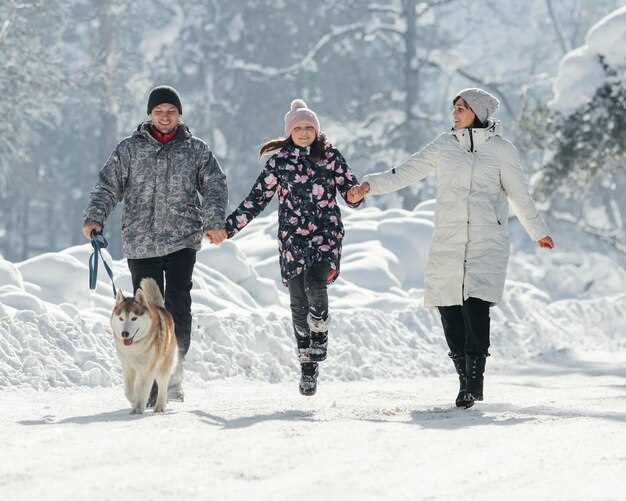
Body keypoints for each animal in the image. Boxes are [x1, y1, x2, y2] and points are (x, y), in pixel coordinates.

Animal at [110, 278, 176, 414]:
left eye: (134, 318)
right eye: (121, 318)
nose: (124, 334)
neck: (134, 349)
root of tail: (160, 307)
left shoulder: (147, 370)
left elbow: (143, 389)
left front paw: (139, 407)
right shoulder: (128, 368)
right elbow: (129, 391)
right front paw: (134, 401)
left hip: (163, 366)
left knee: (162, 385)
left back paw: (159, 406)